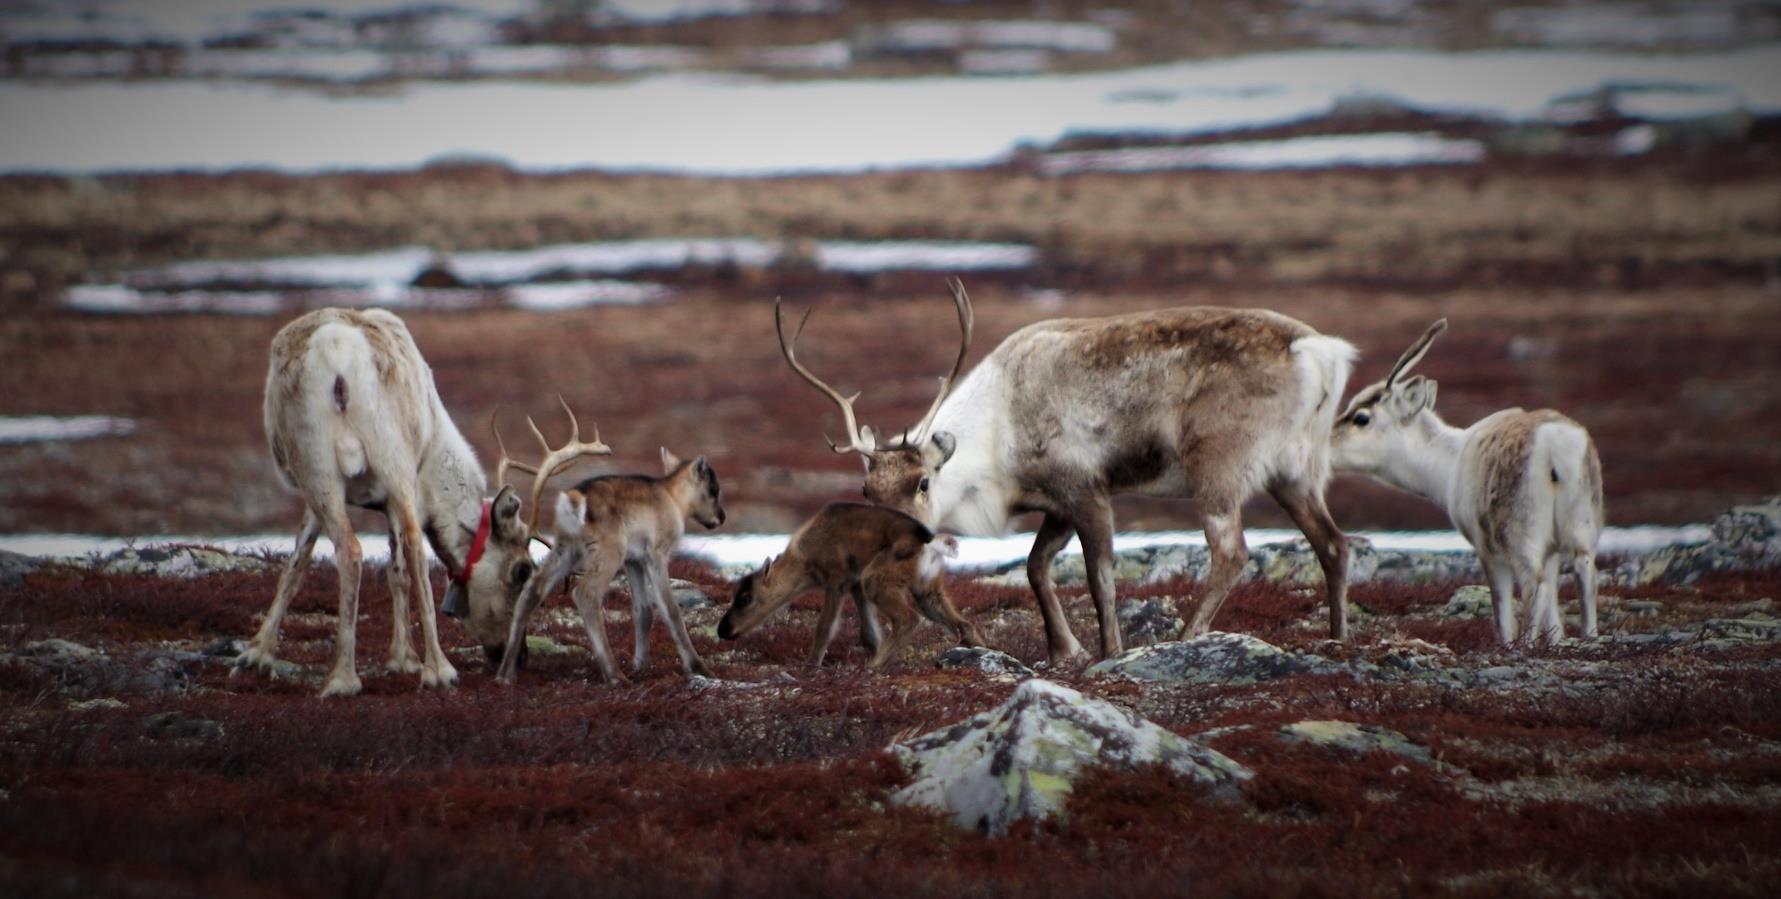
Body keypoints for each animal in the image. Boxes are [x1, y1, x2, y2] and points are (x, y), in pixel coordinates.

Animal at [715, 505, 990, 665]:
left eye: (745, 598)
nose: (723, 630)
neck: (803, 562)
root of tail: (930, 543)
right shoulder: (855, 585)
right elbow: (869, 633)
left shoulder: (838, 579)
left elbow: (825, 628)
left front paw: (810, 667)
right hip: (926, 589)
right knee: (962, 623)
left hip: (876, 579)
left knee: (908, 619)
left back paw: (873, 667)